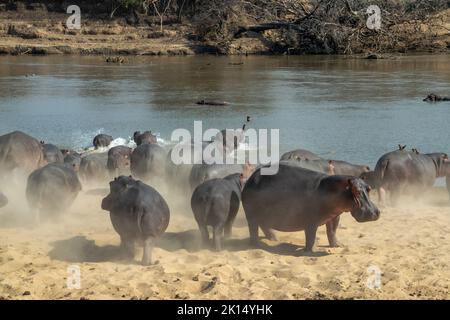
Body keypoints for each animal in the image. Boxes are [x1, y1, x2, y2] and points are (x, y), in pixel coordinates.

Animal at [243, 165, 380, 252]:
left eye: (369, 188)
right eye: (356, 191)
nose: (375, 212)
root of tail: (251, 178)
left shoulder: (335, 216)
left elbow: (332, 232)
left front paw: (338, 245)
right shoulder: (311, 221)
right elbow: (311, 236)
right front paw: (311, 251)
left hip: (264, 215)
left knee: (264, 226)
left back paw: (275, 239)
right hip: (251, 215)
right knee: (253, 229)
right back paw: (256, 244)